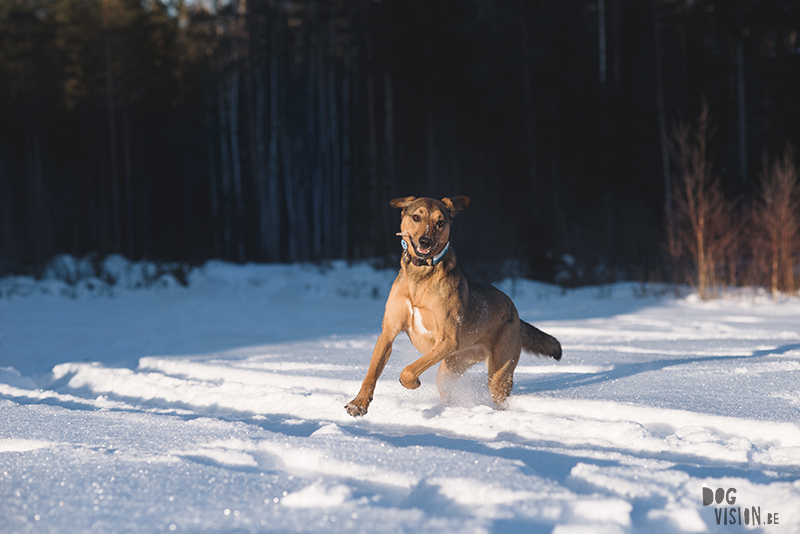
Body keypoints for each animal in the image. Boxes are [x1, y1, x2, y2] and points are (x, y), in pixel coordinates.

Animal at [346, 197, 564, 418]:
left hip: (498, 373)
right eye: (416, 217)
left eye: (440, 222)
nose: (425, 241)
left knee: (500, 395)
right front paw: (359, 403)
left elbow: (409, 370)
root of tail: (515, 312)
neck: (421, 275)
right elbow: (371, 374)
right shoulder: (389, 333)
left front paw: (412, 383)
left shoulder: (447, 341)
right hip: (451, 368)